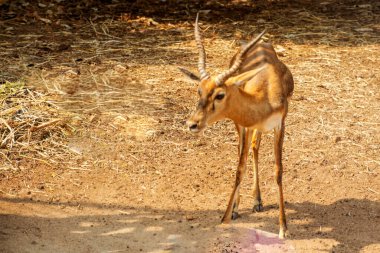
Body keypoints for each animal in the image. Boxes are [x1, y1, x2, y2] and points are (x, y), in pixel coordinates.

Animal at [180, 13, 294, 239]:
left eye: (220, 94)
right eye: (199, 91)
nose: (192, 124)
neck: (265, 94)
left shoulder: (280, 125)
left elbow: (278, 170)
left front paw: (283, 228)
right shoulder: (244, 125)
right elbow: (239, 168)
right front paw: (226, 216)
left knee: (255, 148)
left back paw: (257, 201)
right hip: (241, 127)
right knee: (248, 151)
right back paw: (242, 205)